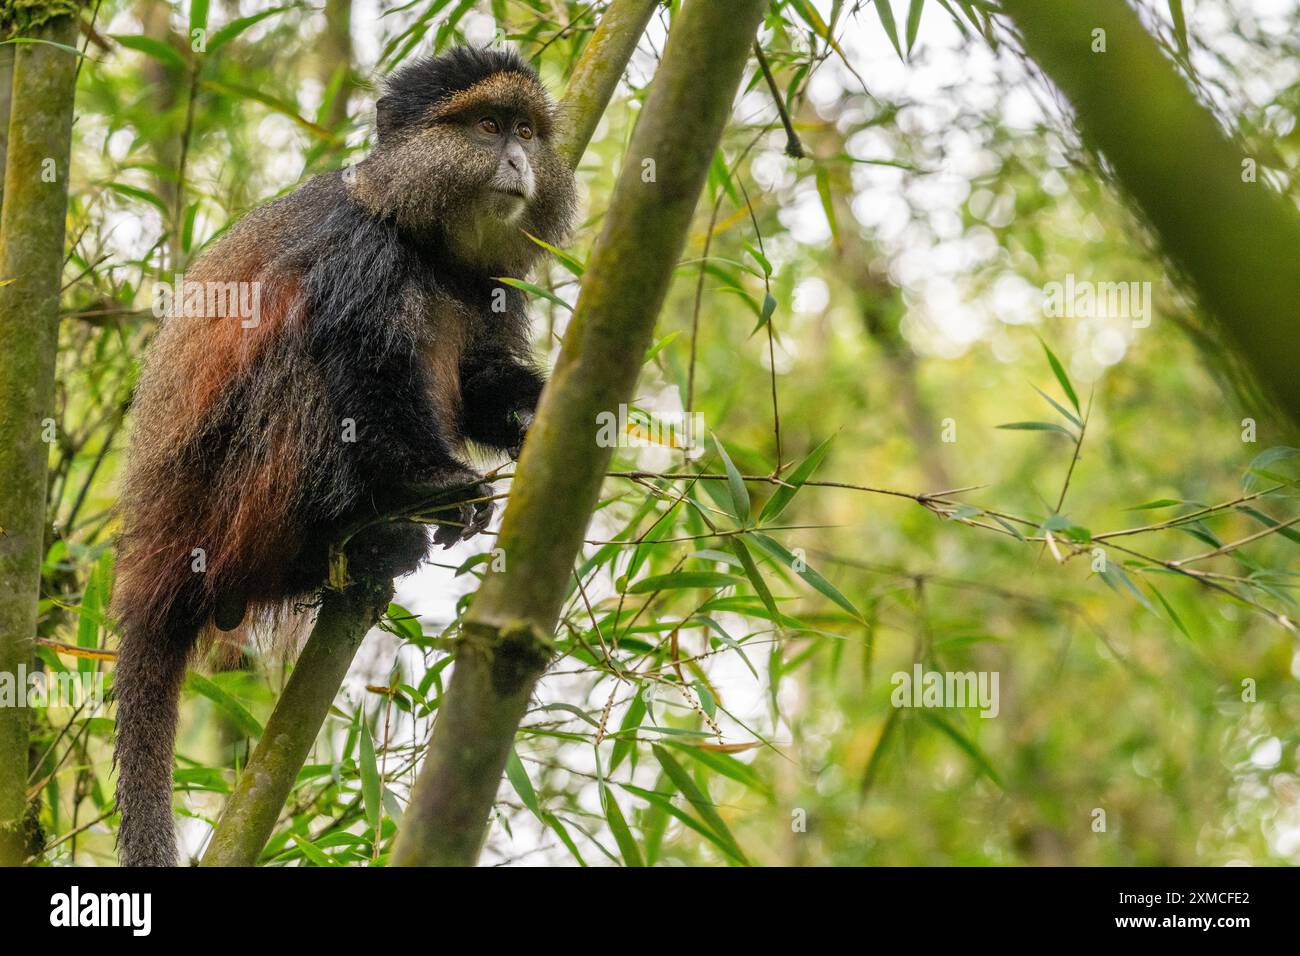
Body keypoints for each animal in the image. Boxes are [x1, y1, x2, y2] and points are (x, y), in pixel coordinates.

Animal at [111, 47, 576, 866]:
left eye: (526, 130)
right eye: (487, 127)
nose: (519, 160)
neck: (422, 239)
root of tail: (157, 560)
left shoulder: (490, 281)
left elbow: (481, 378)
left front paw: (549, 414)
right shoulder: (359, 253)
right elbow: (369, 378)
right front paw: (443, 486)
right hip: (234, 509)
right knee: (302, 359)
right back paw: (363, 530)